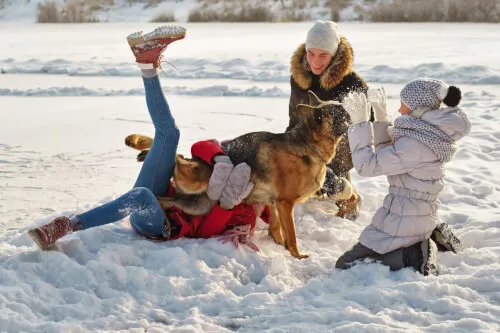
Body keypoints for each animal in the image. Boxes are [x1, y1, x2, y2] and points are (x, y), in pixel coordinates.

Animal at [127, 91, 350, 260]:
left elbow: (276, 227)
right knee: (176, 159)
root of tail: (195, 161)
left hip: (198, 205)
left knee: (162, 199)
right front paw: (297, 255)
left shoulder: (274, 202)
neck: (307, 144)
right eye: (337, 112)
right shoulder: (285, 204)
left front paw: (278, 242)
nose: (349, 110)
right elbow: (292, 234)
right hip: (194, 182)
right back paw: (144, 150)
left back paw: (165, 222)